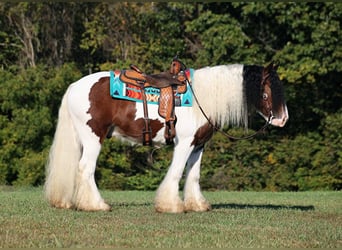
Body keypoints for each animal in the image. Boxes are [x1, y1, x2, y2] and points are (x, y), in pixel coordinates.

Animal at [43, 60, 288, 213]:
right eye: (266, 94)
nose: (283, 119)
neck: (202, 98)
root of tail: (74, 86)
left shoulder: (198, 146)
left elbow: (193, 175)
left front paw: (197, 205)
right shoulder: (184, 143)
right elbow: (177, 172)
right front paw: (170, 205)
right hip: (93, 138)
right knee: (86, 168)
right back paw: (96, 205)